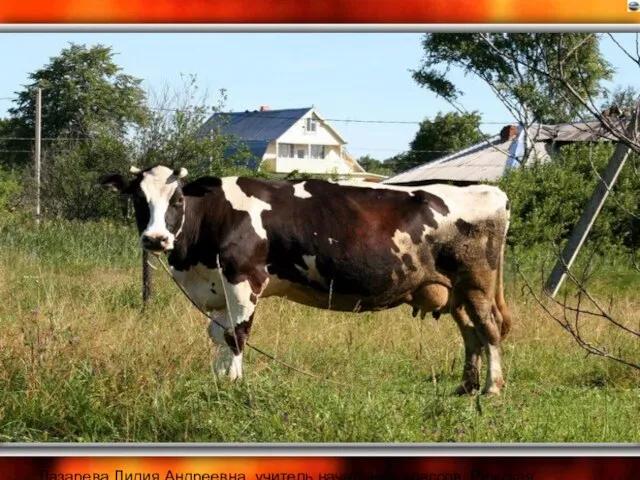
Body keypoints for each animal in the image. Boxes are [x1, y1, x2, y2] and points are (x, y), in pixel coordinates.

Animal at [99, 163, 510, 396]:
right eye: (139, 199)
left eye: (177, 200)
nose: (155, 239)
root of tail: (488, 190)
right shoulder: (217, 286)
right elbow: (218, 334)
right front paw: (217, 379)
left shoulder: (244, 278)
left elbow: (237, 335)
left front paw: (233, 384)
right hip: (454, 291)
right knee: (470, 334)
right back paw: (466, 387)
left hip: (477, 282)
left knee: (488, 330)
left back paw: (492, 389)